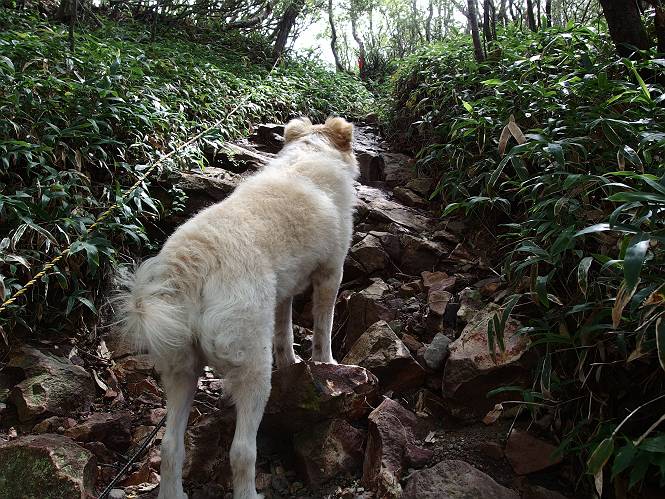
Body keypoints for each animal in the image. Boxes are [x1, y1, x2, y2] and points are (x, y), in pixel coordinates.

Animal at [117, 117, 359, 499]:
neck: (312, 153)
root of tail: (192, 262)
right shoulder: (331, 273)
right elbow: (323, 329)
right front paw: (327, 364)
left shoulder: (283, 294)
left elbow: (284, 334)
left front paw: (292, 364)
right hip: (251, 366)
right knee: (242, 451)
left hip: (180, 369)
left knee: (170, 447)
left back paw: (173, 491)